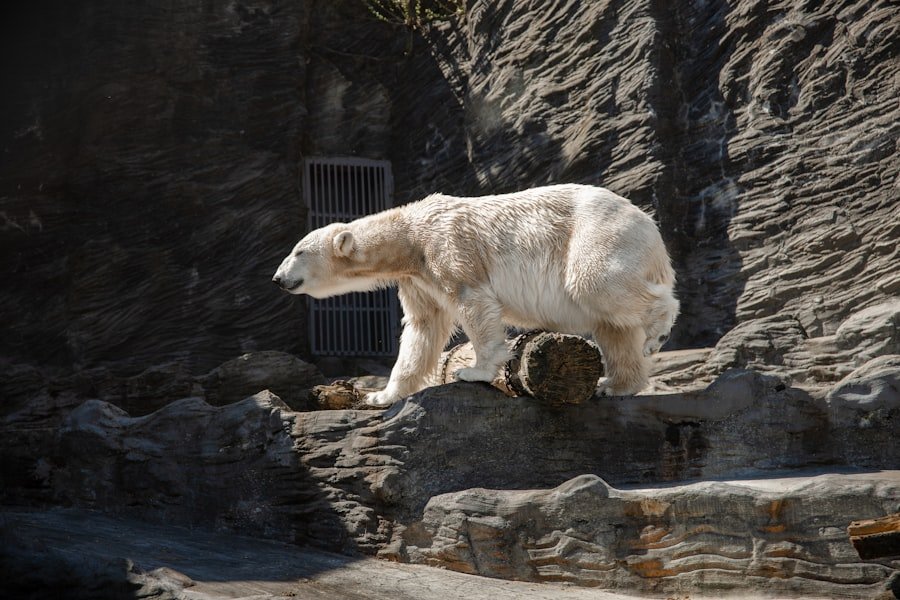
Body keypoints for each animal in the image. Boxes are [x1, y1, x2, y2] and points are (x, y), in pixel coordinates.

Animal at [273, 184, 679, 407]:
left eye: (298, 251)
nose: (277, 278)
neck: (409, 237)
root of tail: (651, 228)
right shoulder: (417, 278)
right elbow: (423, 327)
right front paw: (382, 395)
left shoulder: (446, 247)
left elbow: (472, 301)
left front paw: (473, 371)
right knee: (613, 326)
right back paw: (616, 385)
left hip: (598, 234)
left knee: (595, 282)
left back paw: (657, 332)